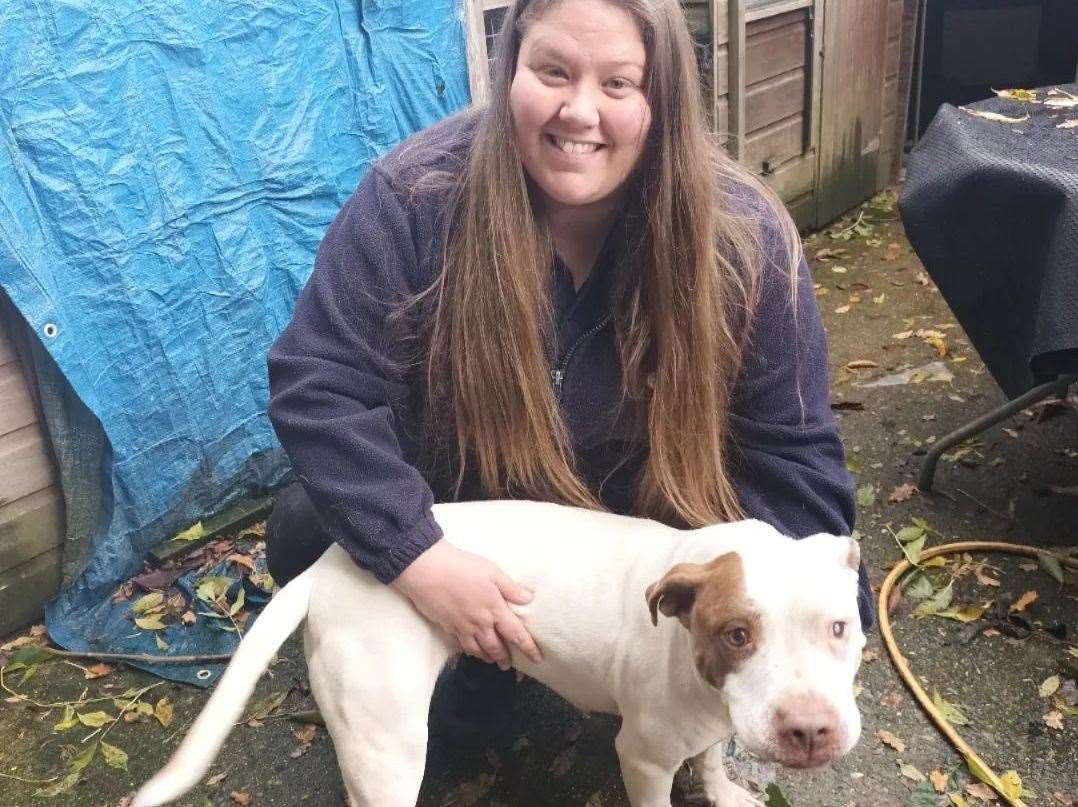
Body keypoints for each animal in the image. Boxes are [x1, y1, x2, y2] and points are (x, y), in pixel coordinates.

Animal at [130, 499, 862, 801]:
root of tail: (331, 563)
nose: (809, 731)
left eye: (839, 628)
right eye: (737, 634)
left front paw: (724, 790)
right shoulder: (642, 756)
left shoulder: (710, 722)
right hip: (387, 742)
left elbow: (709, 761)